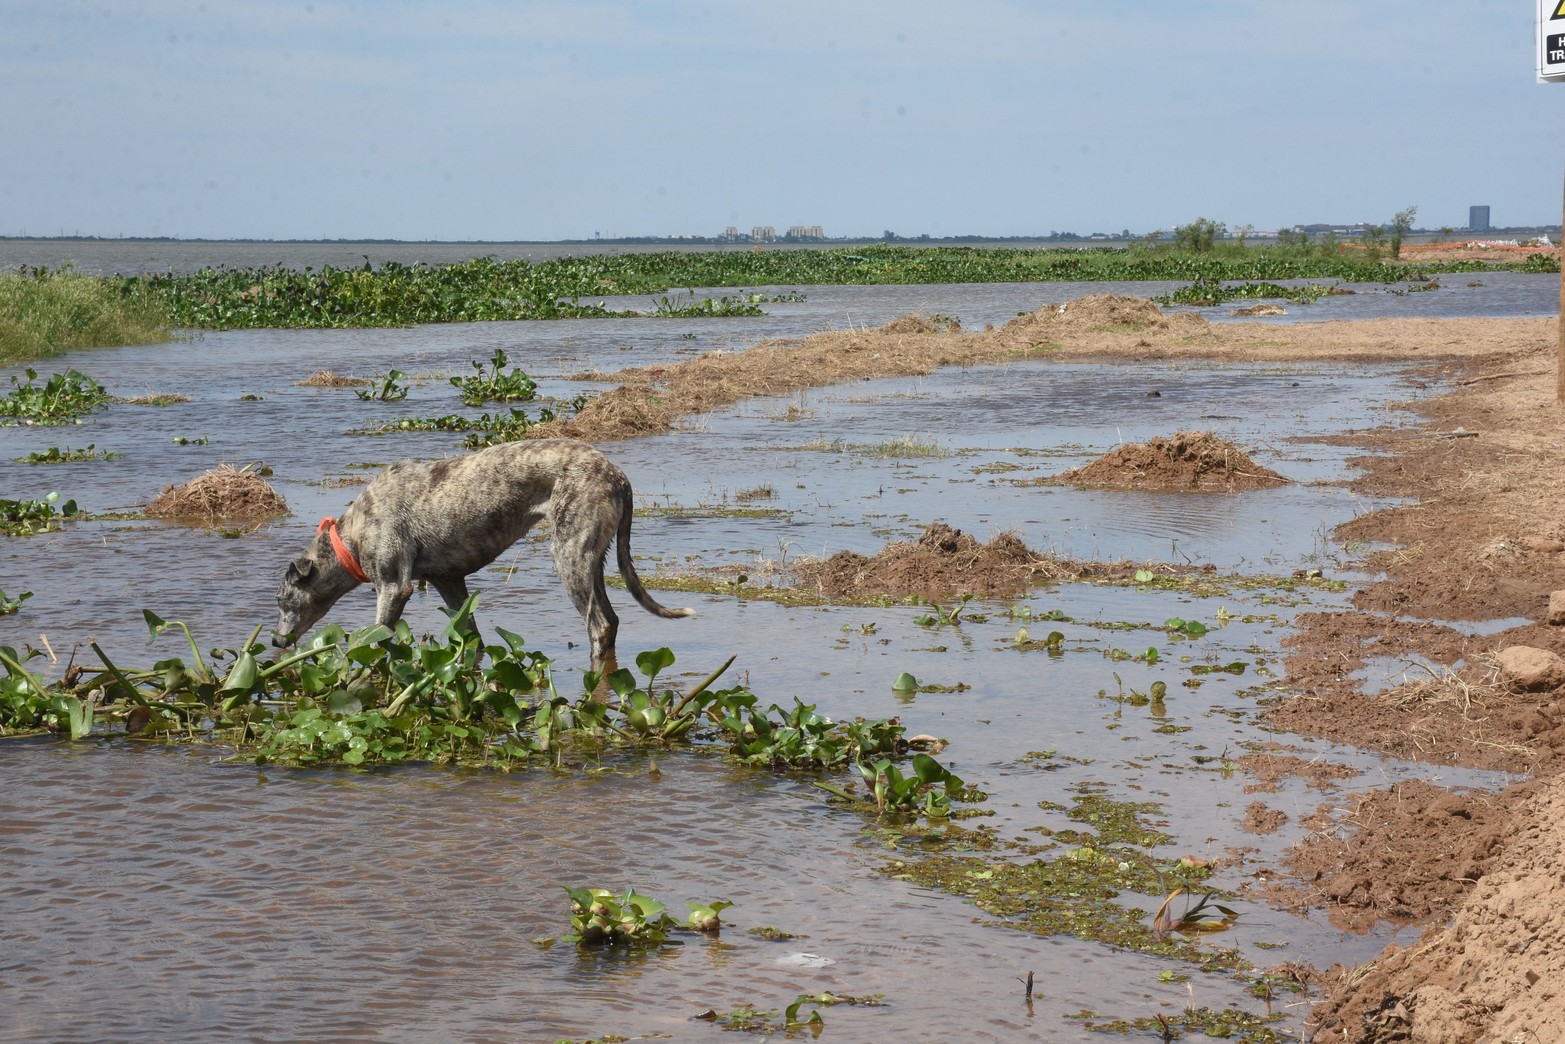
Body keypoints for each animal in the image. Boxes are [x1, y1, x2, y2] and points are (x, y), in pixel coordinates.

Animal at [273, 438, 691, 666]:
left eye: (281, 600)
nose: (276, 643)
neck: (351, 537)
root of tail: (617, 475)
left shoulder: (393, 587)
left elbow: (374, 638)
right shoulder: (449, 582)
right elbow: (470, 637)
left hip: (569, 555)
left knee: (599, 625)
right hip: (592, 559)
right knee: (611, 620)